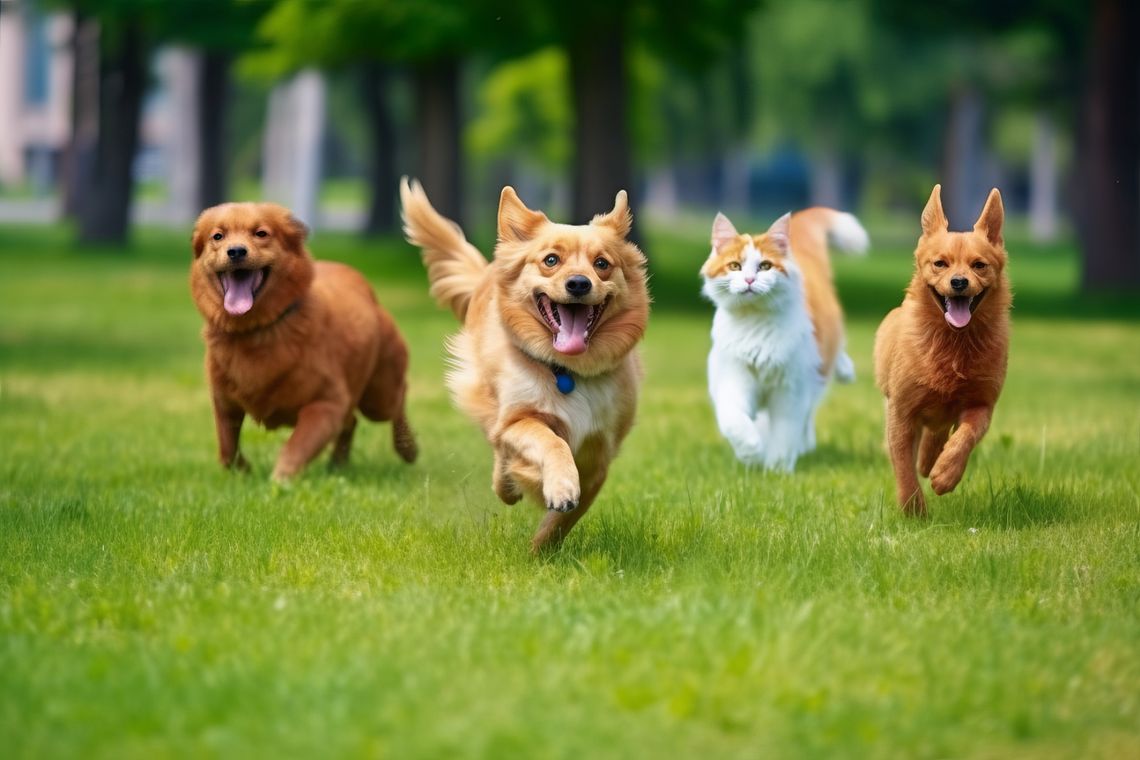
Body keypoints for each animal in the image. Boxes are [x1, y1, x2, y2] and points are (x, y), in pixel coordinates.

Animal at [189, 200, 417, 480]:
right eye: (218, 236)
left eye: (261, 233)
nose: (236, 251)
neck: (257, 329)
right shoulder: (224, 403)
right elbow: (226, 449)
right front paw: (242, 471)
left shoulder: (326, 404)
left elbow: (294, 448)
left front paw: (279, 481)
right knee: (351, 421)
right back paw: (338, 463)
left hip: (379, 396)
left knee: (398, 400)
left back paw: (407, 447)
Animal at [401, 176, 652, 553]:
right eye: (551, 260)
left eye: (602, 264)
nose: (579, 283)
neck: (569, 372)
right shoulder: (517, 419)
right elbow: (550, 441)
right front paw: (560, 485)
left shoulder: (599, 456)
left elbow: (567, 517)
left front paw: (540, 550)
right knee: (500, 451)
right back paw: (506, 483)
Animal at [697, 208, 866, 469]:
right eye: (735, 266)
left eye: (765, 266)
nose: (749, 280)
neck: (754, 322)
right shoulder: (733, 379)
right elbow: (734, 421)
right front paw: (751, 453)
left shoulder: (791, 389)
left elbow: (785, 432)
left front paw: (776, 468)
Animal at [875, 186, 1012, 515]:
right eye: (940, 264)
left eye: (979, 265)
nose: (959, 282)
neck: (953, 343)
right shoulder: (901, 411)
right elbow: (903, 464)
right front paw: (913, 509)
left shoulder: (982, 403)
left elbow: (966, 436)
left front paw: (946, 473)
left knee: (937, 435)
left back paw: (932, 461)